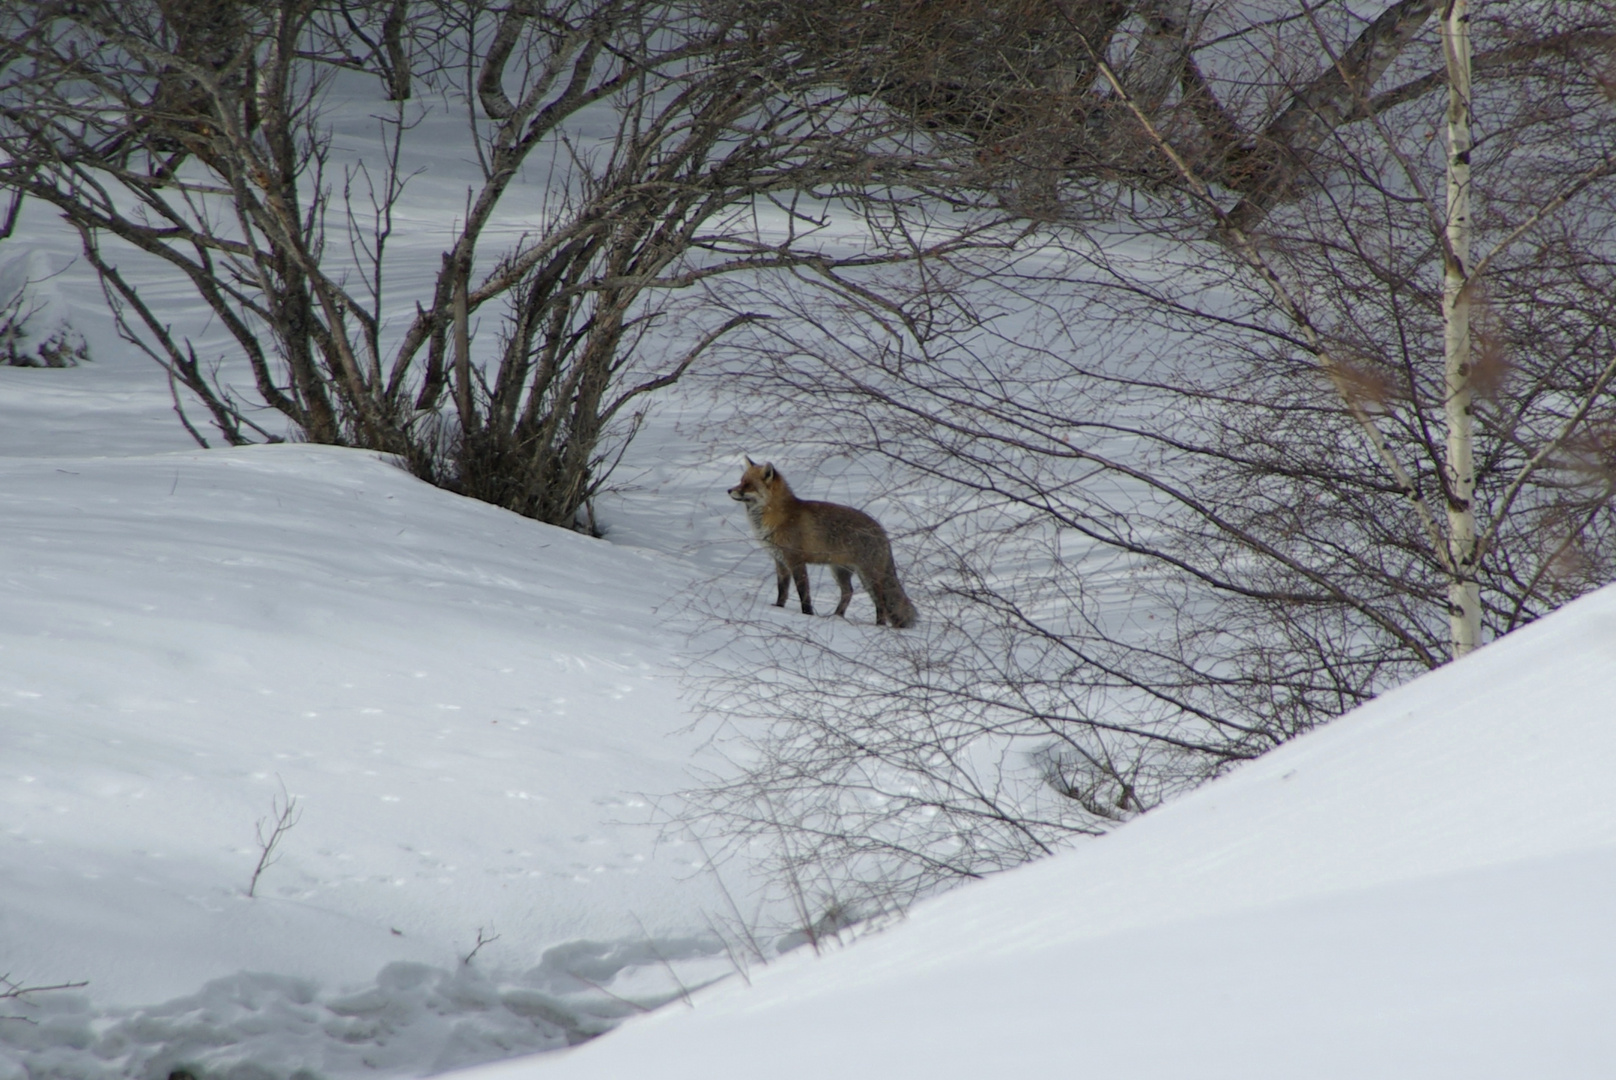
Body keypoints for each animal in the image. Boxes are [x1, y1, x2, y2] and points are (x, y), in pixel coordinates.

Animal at [727, 459, 917, 627]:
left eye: (748, 485)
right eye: (741, 481)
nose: (728, 490)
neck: (776, 516)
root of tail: (882, 531)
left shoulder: (795, 560)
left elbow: (803, 592)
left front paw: (807, 614)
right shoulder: (779, 561)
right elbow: (782, 590)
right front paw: (778, 608)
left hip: (868, 576)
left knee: (881, 603)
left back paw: (879, 626)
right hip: (840, 570)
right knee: (848, 592)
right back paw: (836, 616)